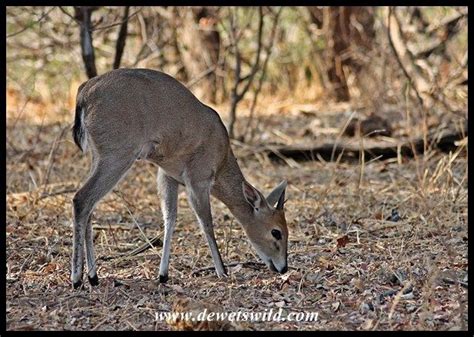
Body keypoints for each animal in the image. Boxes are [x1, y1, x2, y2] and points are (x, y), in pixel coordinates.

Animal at [69, 69, 288, 288]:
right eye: (276, 231)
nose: (283, 267)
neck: (221, 161)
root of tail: (84, 93)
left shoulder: (168, 175)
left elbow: (170, 217)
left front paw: (163, 275)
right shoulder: (198, 179)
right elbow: (206, 223)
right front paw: (222, 271)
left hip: (98, 156)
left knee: (90, 206)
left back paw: (93, 277)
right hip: (117, 154)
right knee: (82, 198)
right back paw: (77, 278)